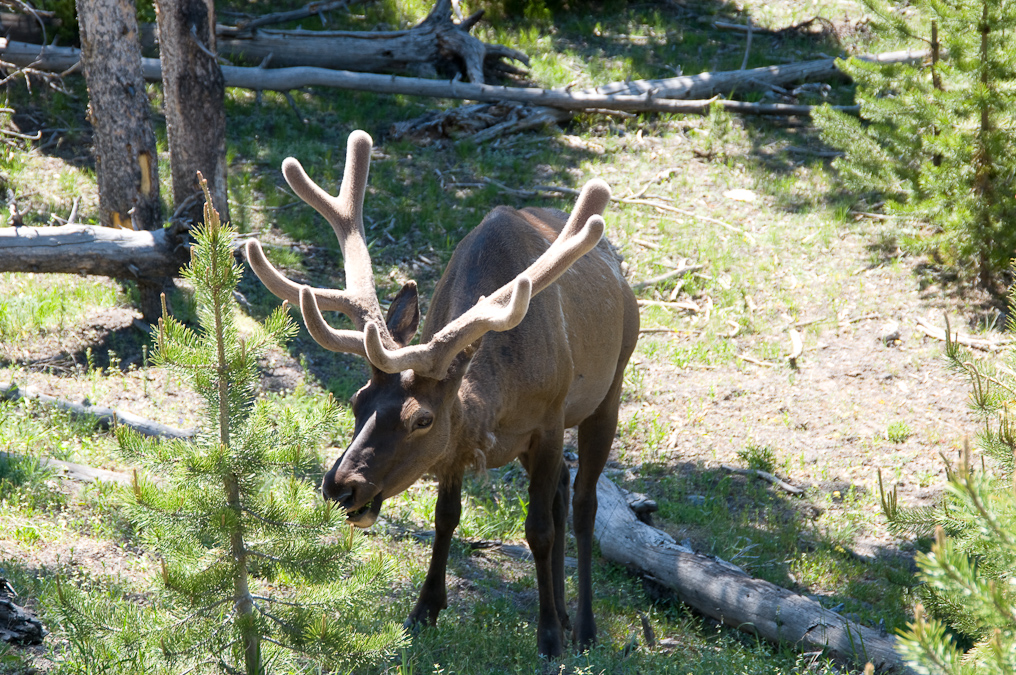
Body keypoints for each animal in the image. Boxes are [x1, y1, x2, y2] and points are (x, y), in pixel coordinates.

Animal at [244, 130, 639, 658]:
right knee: (560, 490)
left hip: (610, 387)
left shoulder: (549, 419)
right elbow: (446, 517)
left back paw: (584, 626)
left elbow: (538, 529)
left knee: (582, 504)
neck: (497, 408)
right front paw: (425, 609)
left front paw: (549, 637)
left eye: (422, 419)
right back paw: (562, 610)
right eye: (356, 402)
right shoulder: (460, 443)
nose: (341, 486)